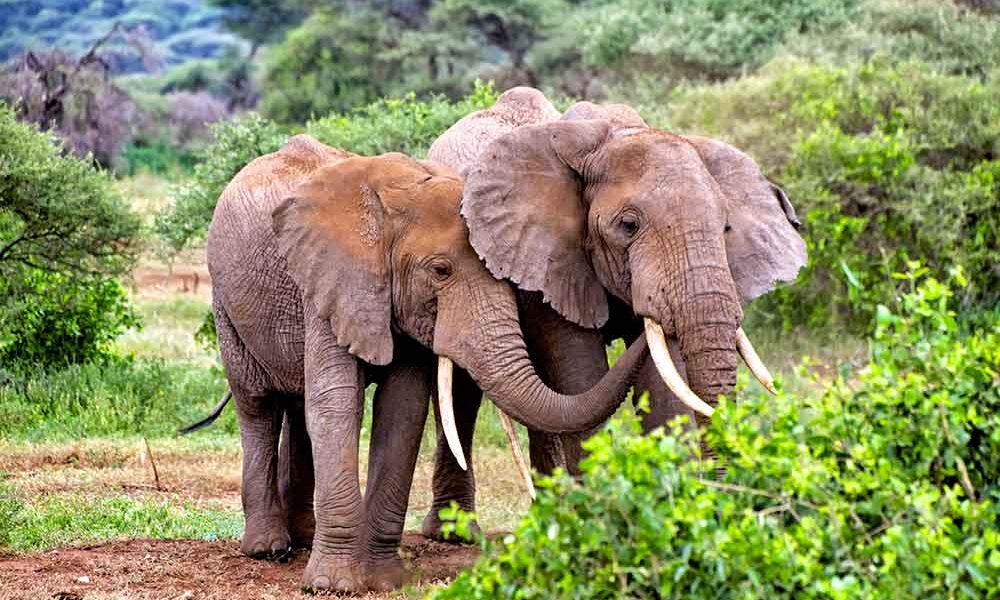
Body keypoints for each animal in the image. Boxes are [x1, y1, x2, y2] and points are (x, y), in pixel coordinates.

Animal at [206, 133, 649, 593]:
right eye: (440, 270)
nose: (642, 319)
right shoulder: (334, 283)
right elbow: (337, 403)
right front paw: (333, 585)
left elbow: (403, 410)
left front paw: (384, 581)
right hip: (225, 302)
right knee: (257, 404)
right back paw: (268, 548)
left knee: (295, 405)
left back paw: (304, 539)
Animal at [422, 88, 806, 526]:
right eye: (628, 226)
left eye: (726, 227)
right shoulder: (548, 260)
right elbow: (579, 371)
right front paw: (598, 520)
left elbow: (661, 382)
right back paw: (453, 532)